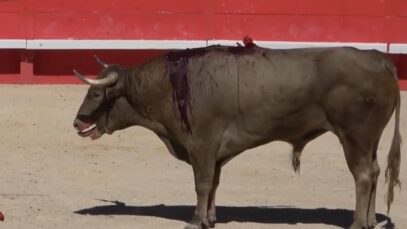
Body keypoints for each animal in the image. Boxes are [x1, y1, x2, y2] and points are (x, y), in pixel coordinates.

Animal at [72, 43, 402, 229]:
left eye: (96, 93)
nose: (76, 123)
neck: (173, 84)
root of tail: (379, 58)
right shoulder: (215, 152)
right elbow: (214, 184)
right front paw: (209, 219)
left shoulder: (201, 146)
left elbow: (202, 184)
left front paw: (195, 221)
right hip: (369, 140)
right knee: (374, 172)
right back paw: (371, 221)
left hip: (354, 137)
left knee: (363, 175)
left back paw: (357, 223)